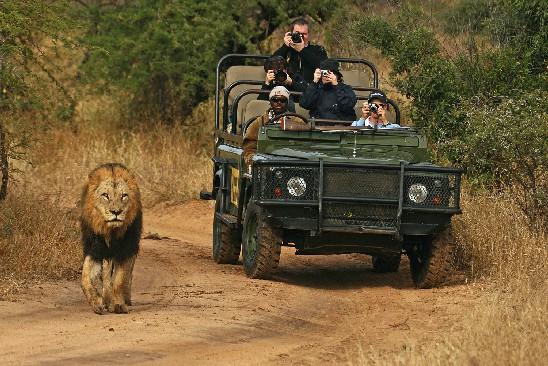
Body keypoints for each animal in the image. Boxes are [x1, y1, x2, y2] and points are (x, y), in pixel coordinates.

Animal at [80, 163, 143, 314]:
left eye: (124, 196)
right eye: (105, 196)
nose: (116, 212)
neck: (110, 231)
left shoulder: (125, 250)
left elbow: (119, 280)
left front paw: (119, 305)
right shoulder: (94, 249)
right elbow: (85, 278)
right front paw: (96, 303)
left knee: (126, 276)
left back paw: (125, 299)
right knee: (106, 276)